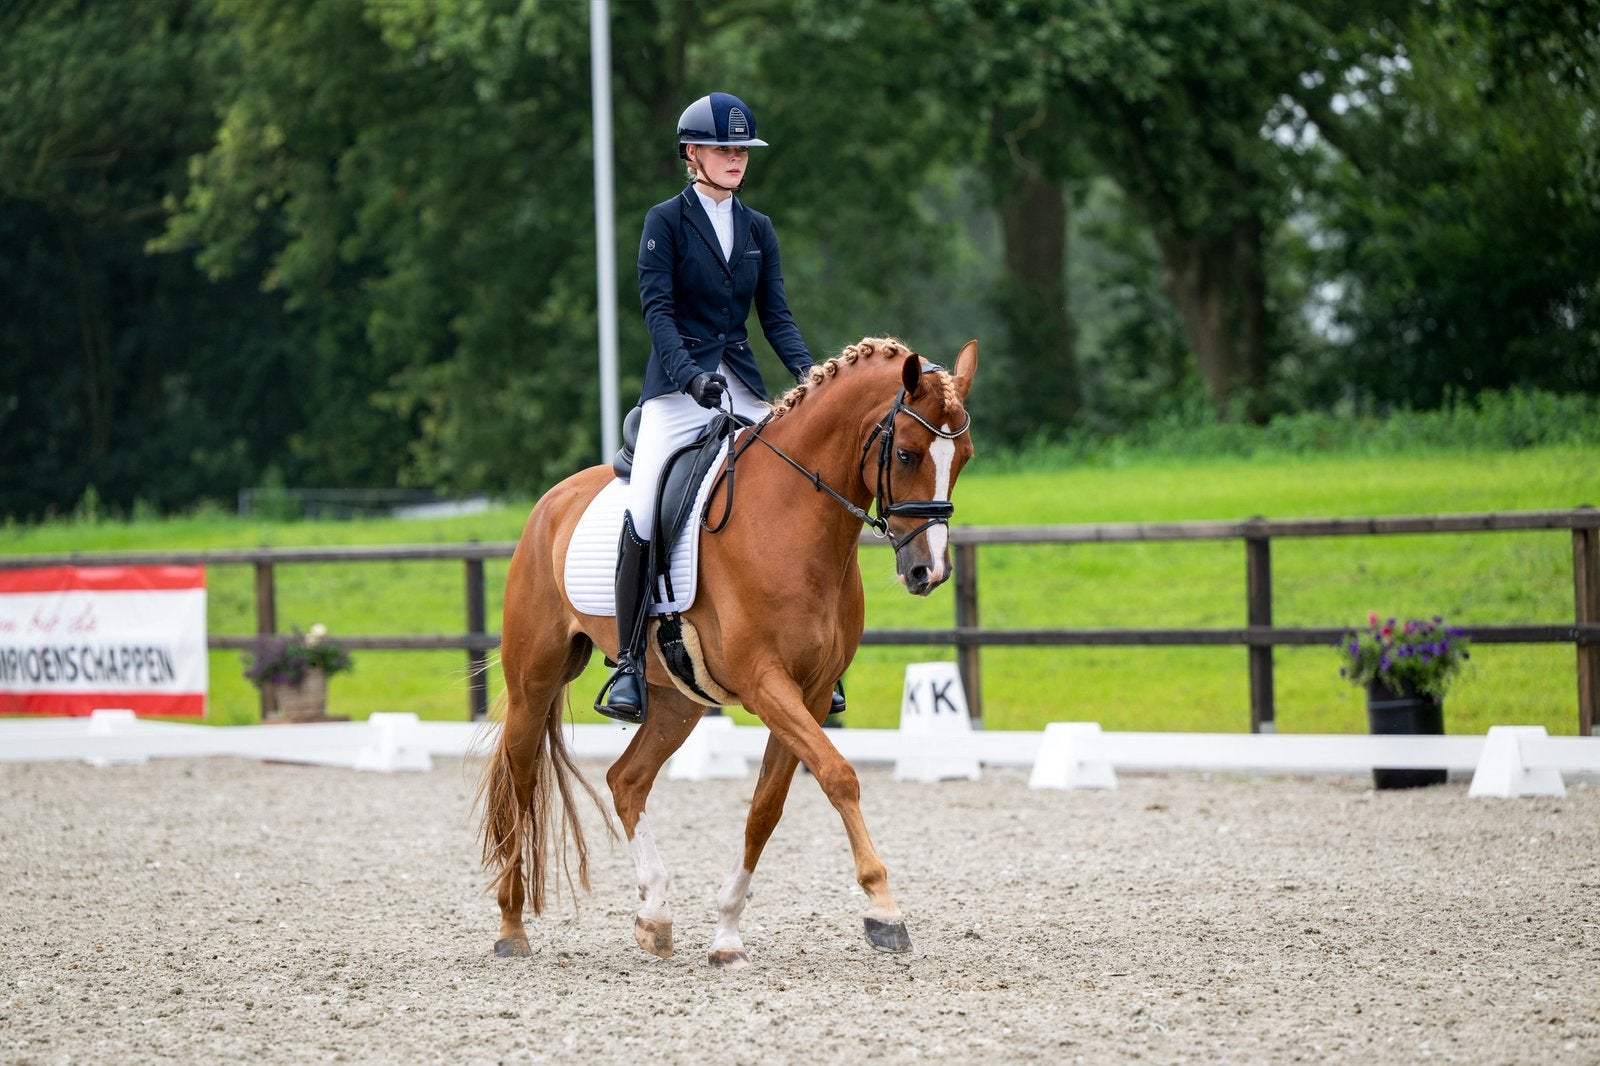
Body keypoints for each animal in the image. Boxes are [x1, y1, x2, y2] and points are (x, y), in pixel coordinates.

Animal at [477, 335, 978, 968]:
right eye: (909, 454)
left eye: (963, 459)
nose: (928, 572)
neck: (793, 520)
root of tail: (551, 502)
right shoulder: (766, 683)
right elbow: (839, 775)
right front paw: (884, 909)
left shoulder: (811, 694)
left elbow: (767, 806)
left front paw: (727, 934)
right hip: (534, 679)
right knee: (520, 782)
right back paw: (511, 927)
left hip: (678, 700)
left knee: (626, 780)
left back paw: (654, 915)